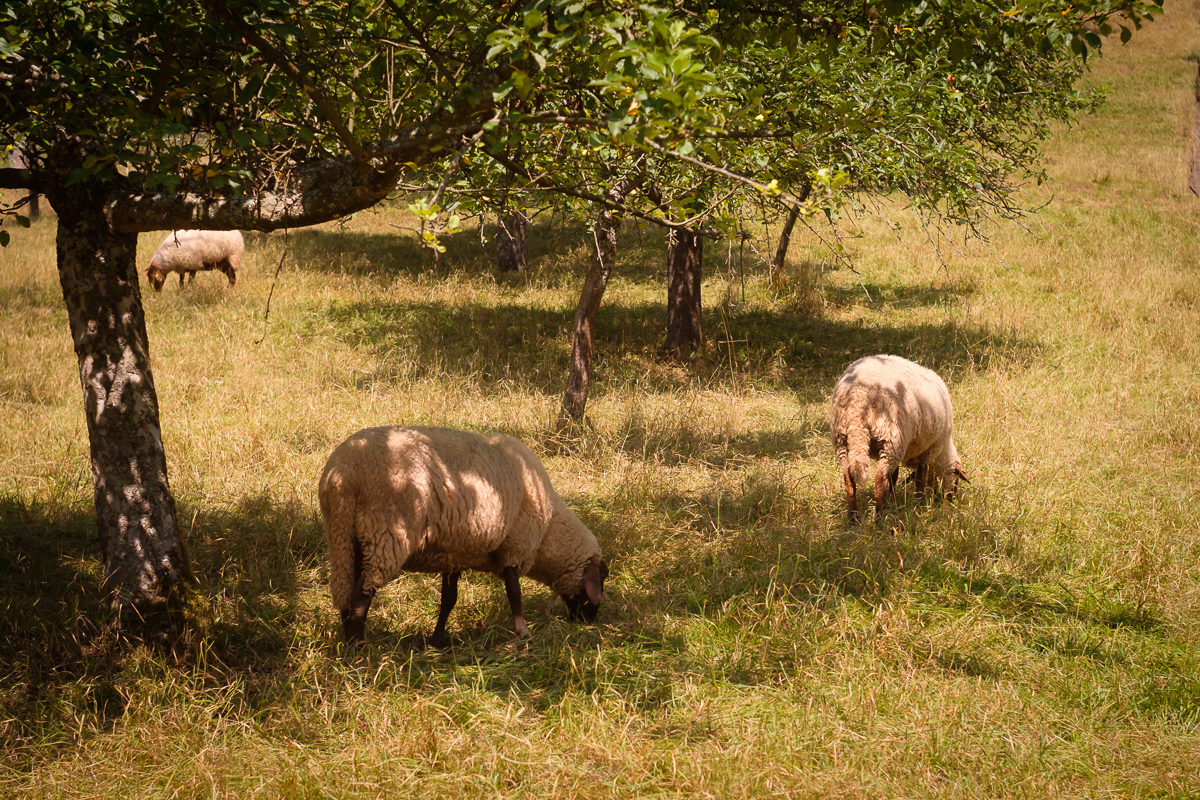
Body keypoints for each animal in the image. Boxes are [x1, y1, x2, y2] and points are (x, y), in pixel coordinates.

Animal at [319, 424, 609, 642]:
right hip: (385, 533)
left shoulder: (454, 553)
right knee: (360, 596)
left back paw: (349, 641)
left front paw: (437, 640)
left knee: (346, 591)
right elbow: (514, 593)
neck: (549, 531)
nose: (588, 622)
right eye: (602, 579)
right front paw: (523, 634)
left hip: (344, 536)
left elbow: (449, 599)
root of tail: (342, 474)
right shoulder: (514, 545)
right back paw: (359, 647)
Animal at [830, 352, 969, 522]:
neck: (942, 454)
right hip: (891, 438)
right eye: (956, 480)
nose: (949, 499)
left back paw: (854, 518)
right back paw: (880, 516)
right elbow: (919, 478)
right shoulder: (928, 450)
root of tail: (858, 397)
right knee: (880, 478)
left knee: (848, 478)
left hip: (843, 439)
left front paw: (893, 498)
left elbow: (894, 476)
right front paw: (920, 503)